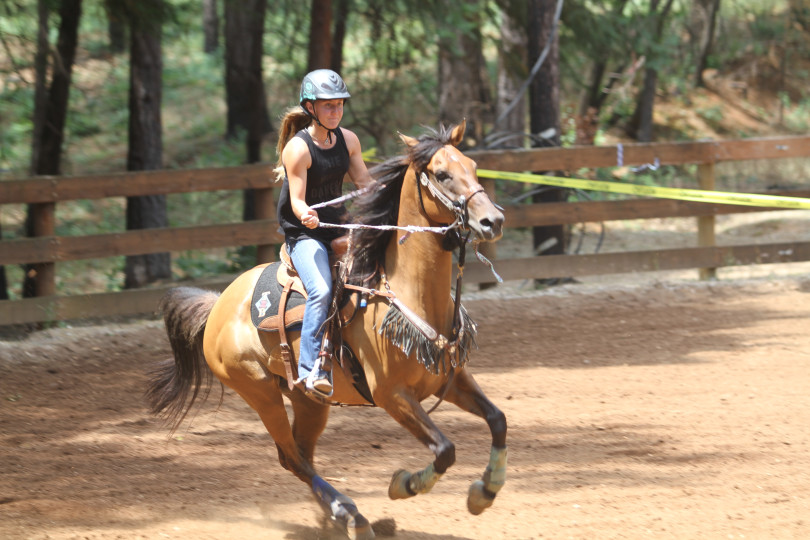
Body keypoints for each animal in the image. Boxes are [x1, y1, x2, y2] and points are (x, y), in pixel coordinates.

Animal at [147, 121, 504, 540]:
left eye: (474, 167)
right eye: (442, 174)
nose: (493, 221)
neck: (408, 293)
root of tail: (218, 304)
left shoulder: (450, 378)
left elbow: (497, 420)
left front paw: (485, 491)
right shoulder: (392, 395)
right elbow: (445, 450)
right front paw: (403, 484)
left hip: (307, 401)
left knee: (299, 455)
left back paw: (341, 517)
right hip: (259, 392)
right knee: (292, 457)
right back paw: (351, 515)